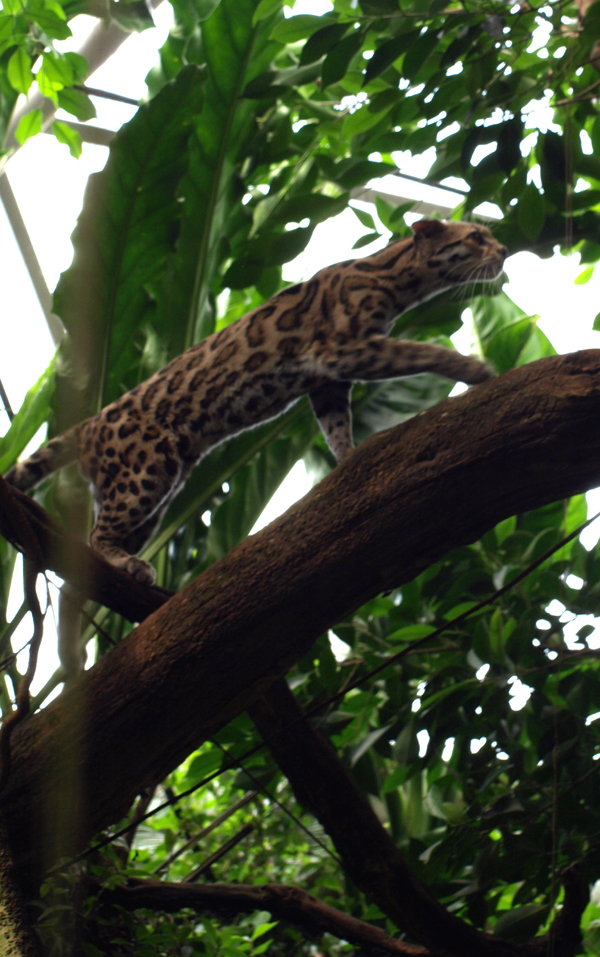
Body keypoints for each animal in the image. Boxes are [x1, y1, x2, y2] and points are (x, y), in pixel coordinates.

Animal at [7, 221, 508, 588]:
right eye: (476, 237)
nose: (504, 250)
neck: (395, 277)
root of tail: (89, 424)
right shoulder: (343, 349)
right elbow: (419, 353)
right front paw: (473, 367)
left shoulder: (327, 379)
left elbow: (336, 426)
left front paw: (349, 456)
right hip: (146, 471)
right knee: (95, 535)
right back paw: (125, 563)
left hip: (151, 492)